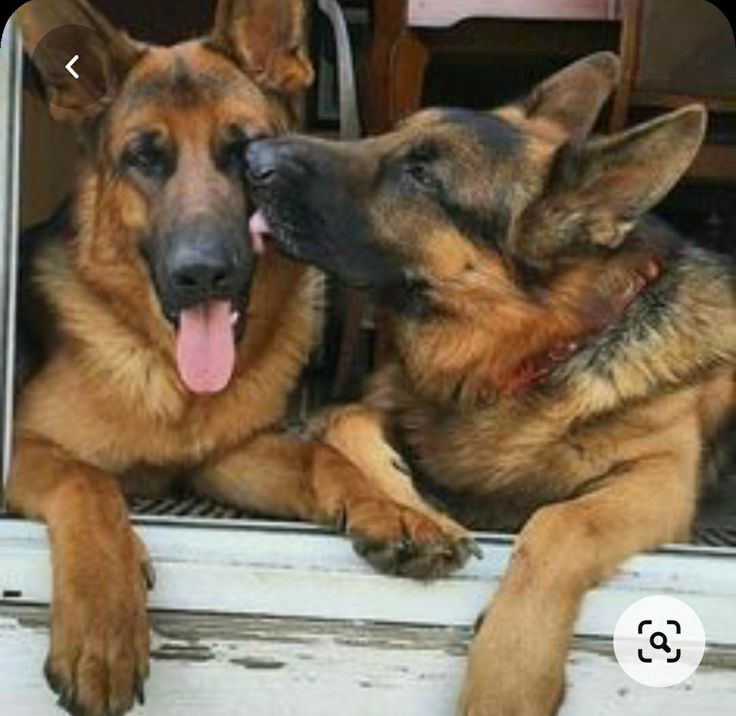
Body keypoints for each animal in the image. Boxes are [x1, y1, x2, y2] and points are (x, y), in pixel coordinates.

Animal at [11, 2, 474, 712]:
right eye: (143, 158)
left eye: (242, 153)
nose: (202, 274)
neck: (171, 383)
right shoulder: (24, 446)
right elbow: (85, 479)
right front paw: (103, 628)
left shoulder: (220, 461)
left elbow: (319, 455)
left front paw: (393, 509)